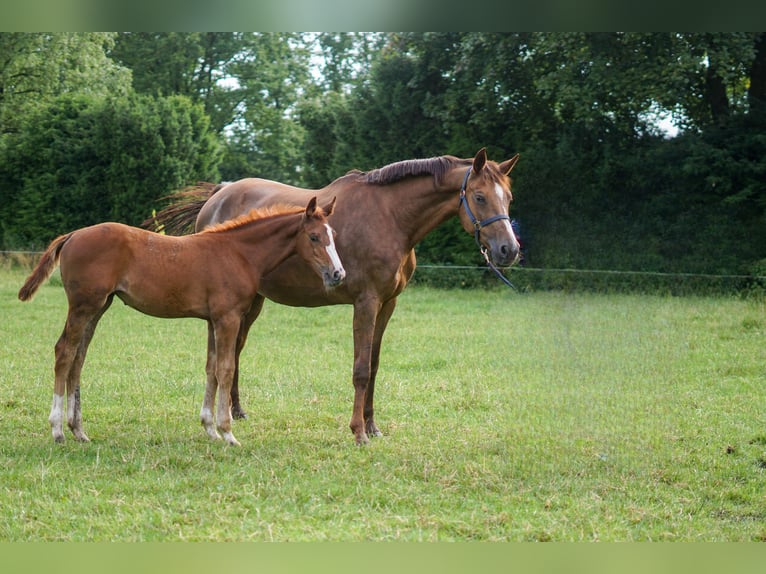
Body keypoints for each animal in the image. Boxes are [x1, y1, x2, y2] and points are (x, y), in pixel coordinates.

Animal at [19, 197, 344, 447]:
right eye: (314, 237)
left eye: (333, 235)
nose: (338, 274)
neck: (239, 254)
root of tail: (72, 235)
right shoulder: (228, 318)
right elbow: (226, 369)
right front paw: (228, 433)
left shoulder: (213, 320)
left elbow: (211, 368)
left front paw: (210, 428)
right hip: (83, 306)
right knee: (64, 352)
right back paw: (57, 430)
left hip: (98, 307)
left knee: (78, 358)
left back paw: (79, 430)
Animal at [149, 148, 521, 445]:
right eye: (480, 197)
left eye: (508, 198)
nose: (509, 250)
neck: (390, 217)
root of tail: (219, 193)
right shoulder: (366, 302)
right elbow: (360, 369)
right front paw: (358, 432)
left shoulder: (388, 304)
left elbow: (374, 365)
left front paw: (373, 427)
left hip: (252, 301)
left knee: (236, 350)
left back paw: (236, 410)